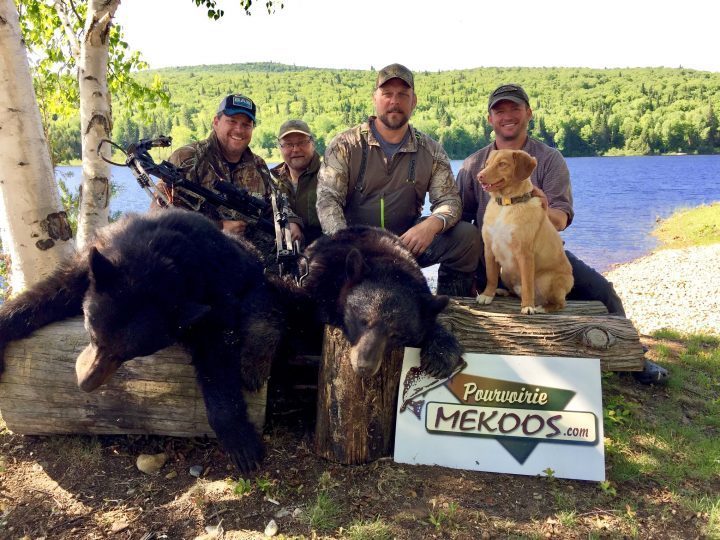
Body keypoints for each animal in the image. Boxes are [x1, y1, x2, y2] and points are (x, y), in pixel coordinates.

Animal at [0, 211, 306, 472]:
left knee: (266, 308)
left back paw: (255, 361)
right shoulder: (94, 264)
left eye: (125, 356)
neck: (155, 259)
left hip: (255, 278)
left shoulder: (212, 297)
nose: (85, 383)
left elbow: (218, 358)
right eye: (94, 336)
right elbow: (47, 293)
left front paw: (240, 440)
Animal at [478, 150, 572, 314]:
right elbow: (491, 276)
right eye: (487, 163)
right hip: (505, 271)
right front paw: (487, 294)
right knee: (515, 292)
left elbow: (528, 285)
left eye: (502, 164)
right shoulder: (489, 249)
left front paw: (527, 306)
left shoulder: (525, 253)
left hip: (549, 280)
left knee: (560, 303)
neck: (506, 204)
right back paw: (501, 291)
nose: (479, 176)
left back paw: (541, 307)